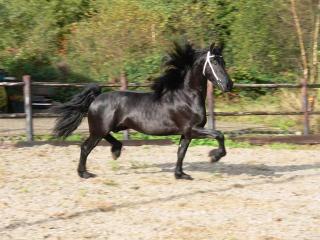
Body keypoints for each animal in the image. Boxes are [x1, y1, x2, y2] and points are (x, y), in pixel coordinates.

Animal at [52, 41, 232, 180]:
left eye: (224, 62)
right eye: (214, 63)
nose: (228, 85)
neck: (186, 97)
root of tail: (97, 98)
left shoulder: (186, 133)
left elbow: (181, 152)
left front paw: (180, 174)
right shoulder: (193, 129)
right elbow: (219, 135)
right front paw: (214, 156)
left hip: (106, 128)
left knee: (106, 139)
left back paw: (116, 151)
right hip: (98, 130)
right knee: (85, 147)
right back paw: (84, 173)